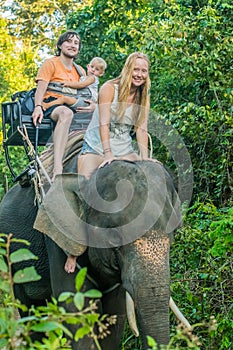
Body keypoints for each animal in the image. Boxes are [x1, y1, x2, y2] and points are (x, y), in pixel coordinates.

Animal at [0, 159, 185, 350]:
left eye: (173, 232)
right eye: (114, 236)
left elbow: (114, 314)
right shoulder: (58, 240)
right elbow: (75, 311)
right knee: (29, 311)